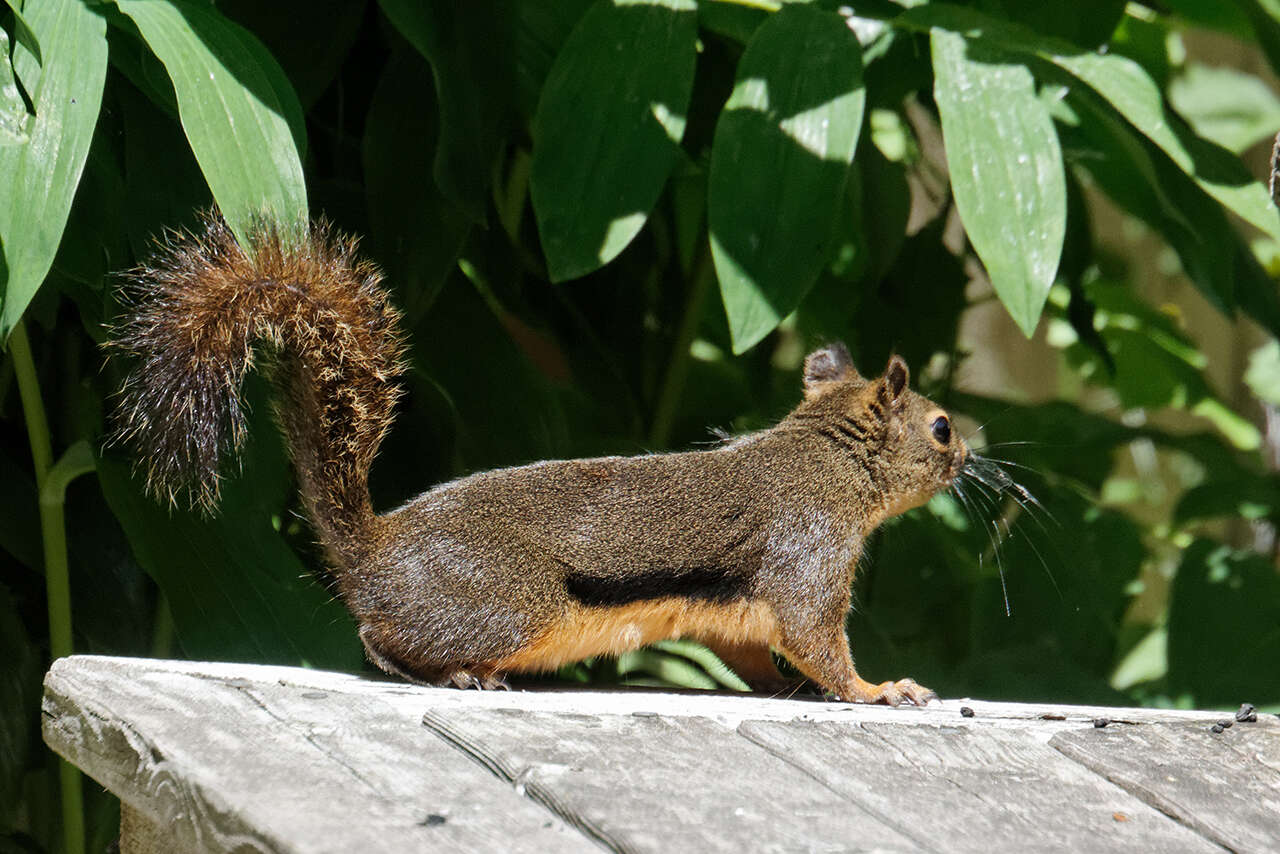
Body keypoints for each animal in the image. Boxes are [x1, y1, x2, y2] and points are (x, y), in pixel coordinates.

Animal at [112, 215, 967, 706]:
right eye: (941, 428)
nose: (969, 459)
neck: (825, 456)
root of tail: (373, 551)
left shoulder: (735, 608)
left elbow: (752, 650)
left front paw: (790, 687)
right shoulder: (809, 549)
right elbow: (817, 635)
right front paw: (878, 689)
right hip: (508, 604)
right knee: (381, 639)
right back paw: (456, 672)